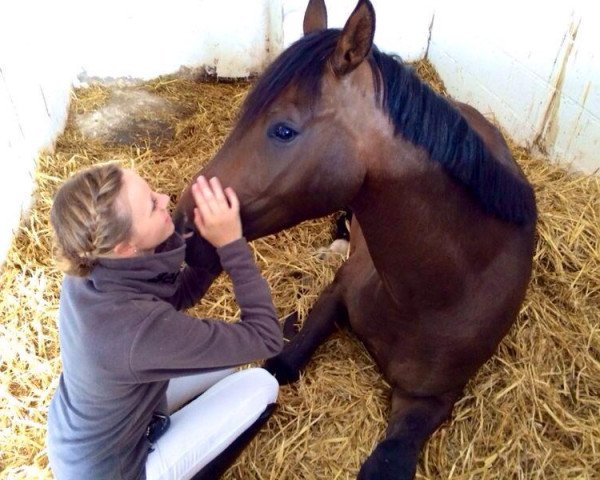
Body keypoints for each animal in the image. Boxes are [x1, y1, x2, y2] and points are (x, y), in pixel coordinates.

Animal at [171, 1, 536, 478]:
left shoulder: (431, 400)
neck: (439, 292)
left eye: (284, 130)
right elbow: (277, 367)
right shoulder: (336, 295)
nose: (183, 225)